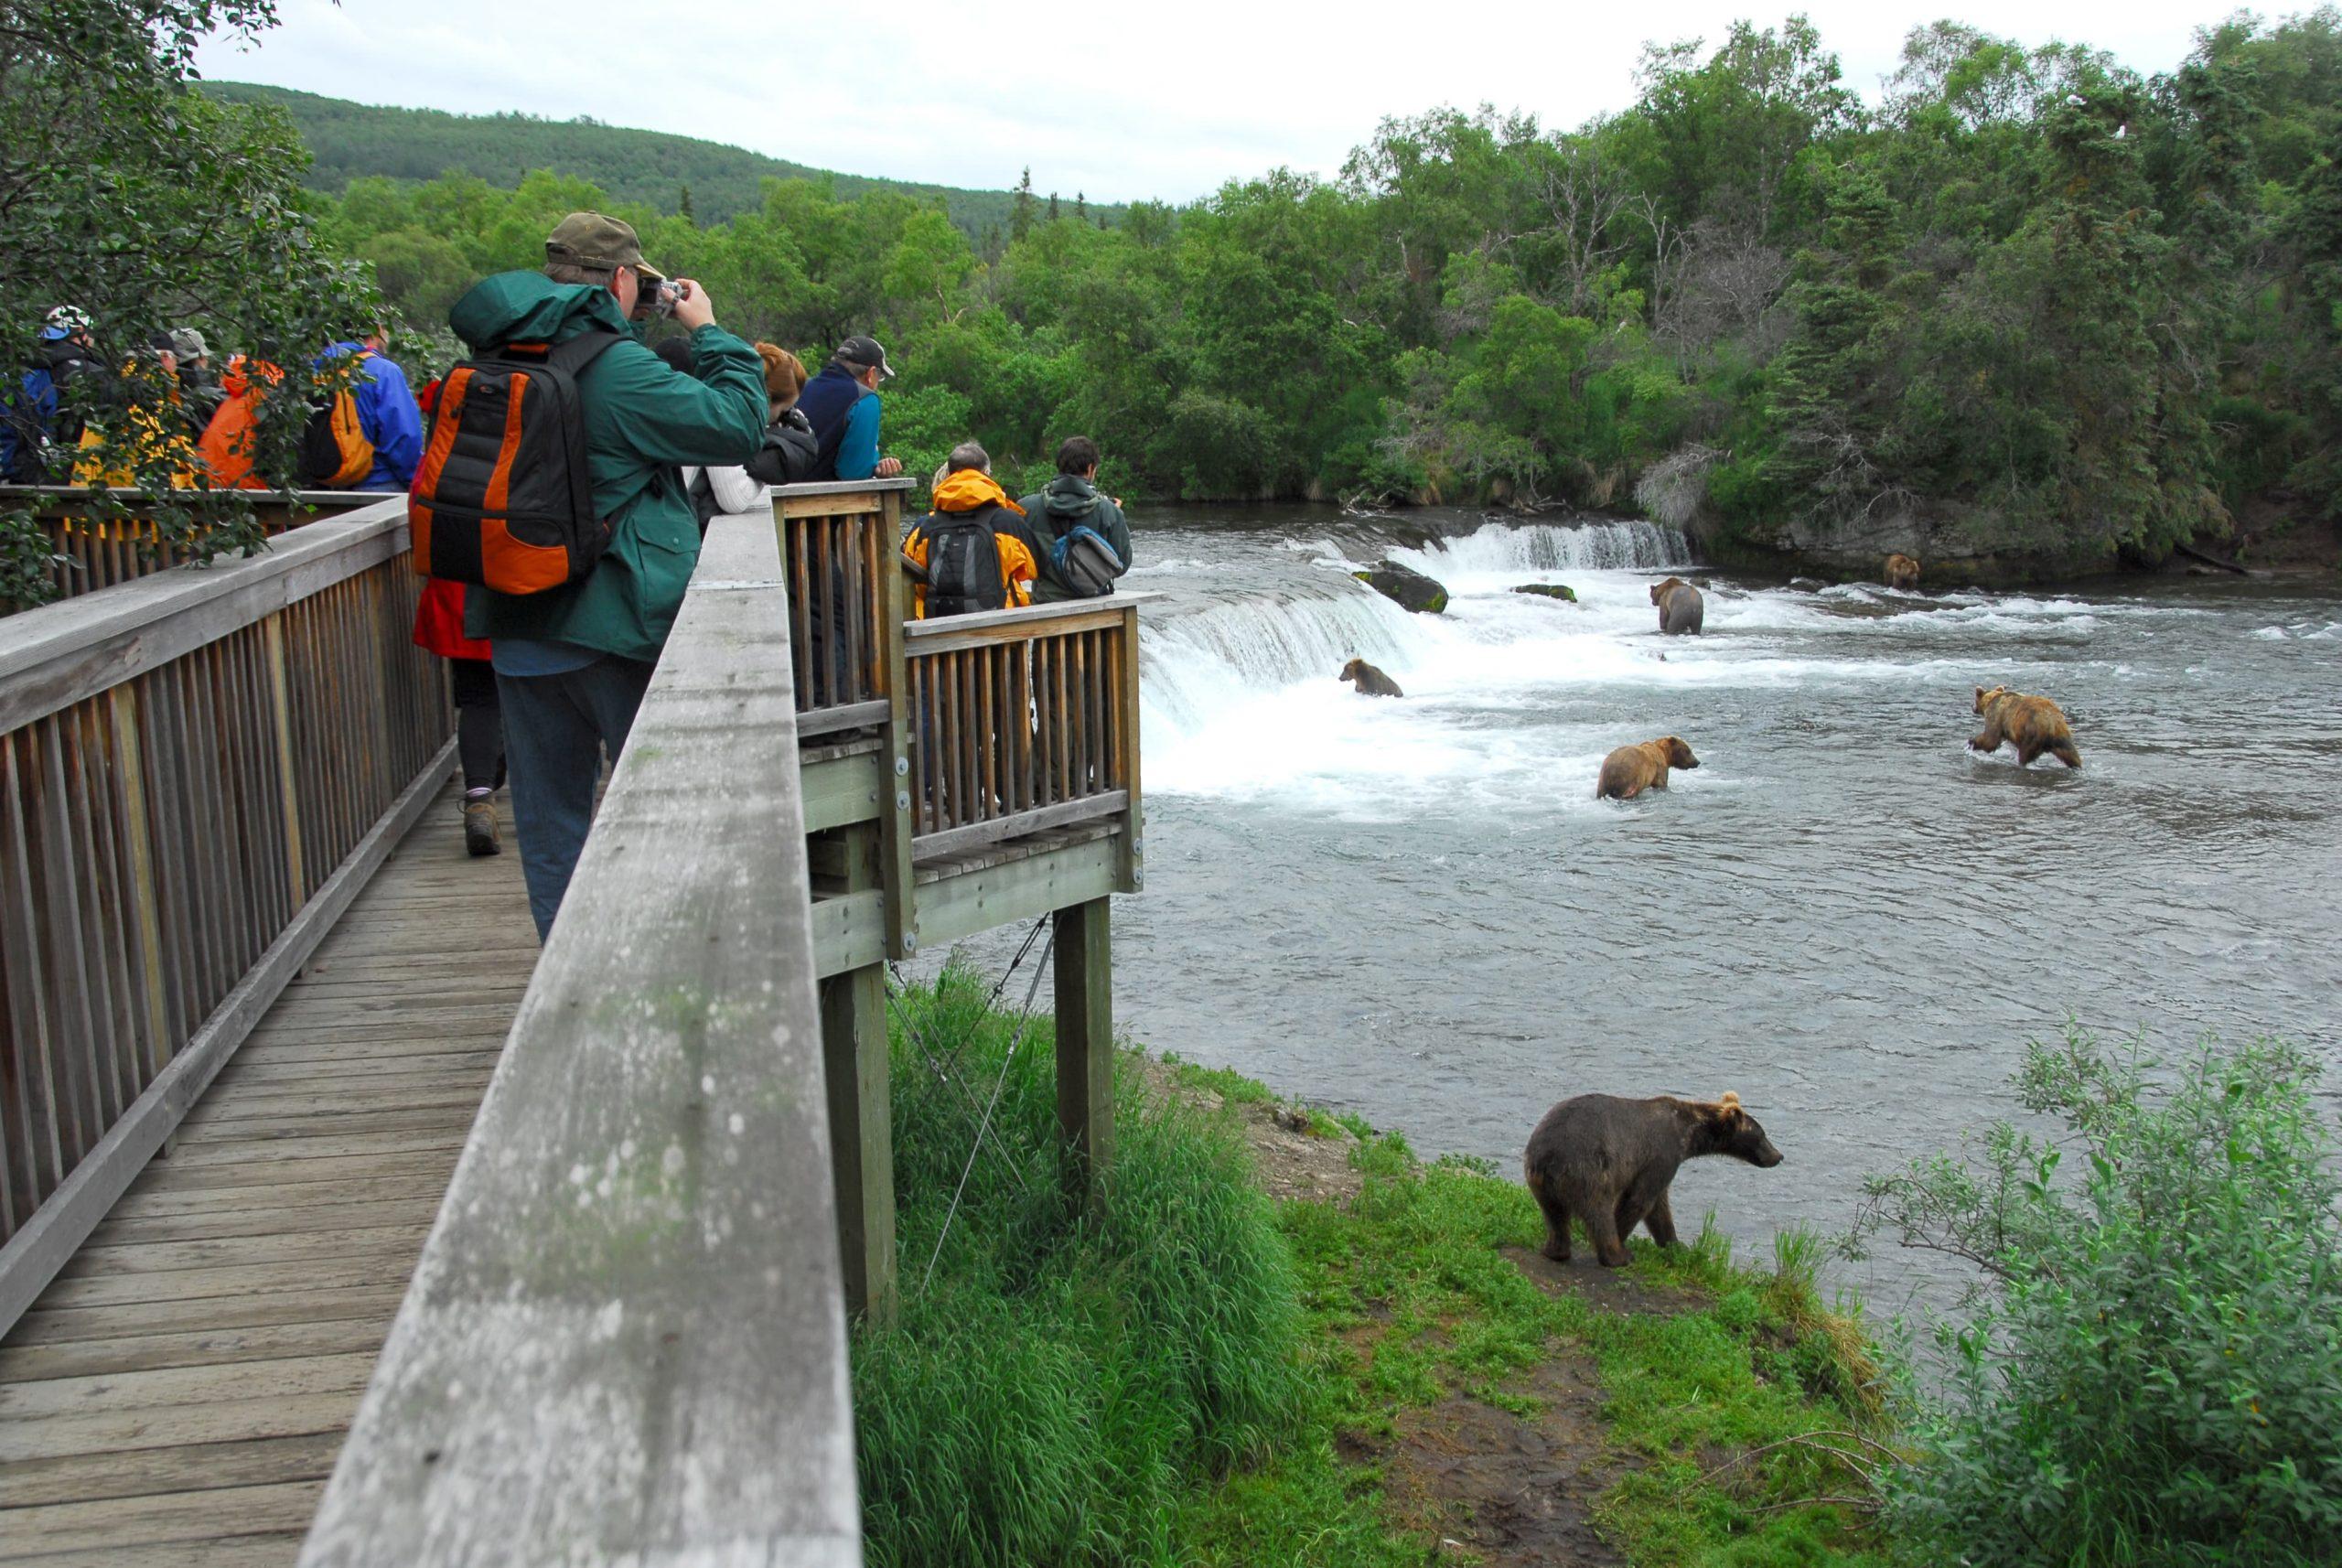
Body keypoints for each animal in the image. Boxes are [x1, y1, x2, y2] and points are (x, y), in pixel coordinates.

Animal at [1527, 1100, 1779, 1273]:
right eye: (1762, 1134)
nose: (1779, 1156)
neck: (1687, 1133)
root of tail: (1547, 1157)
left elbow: (1660, 1207)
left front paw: (1676, 1245)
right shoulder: (1662, 1154)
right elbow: (1640, 1200)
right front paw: (1624, 1239)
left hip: (1542, 1183)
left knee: (1555, 1216)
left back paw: (1555, 1251)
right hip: (1587, 1169)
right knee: (1599, 1211)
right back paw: (1618, 1256)